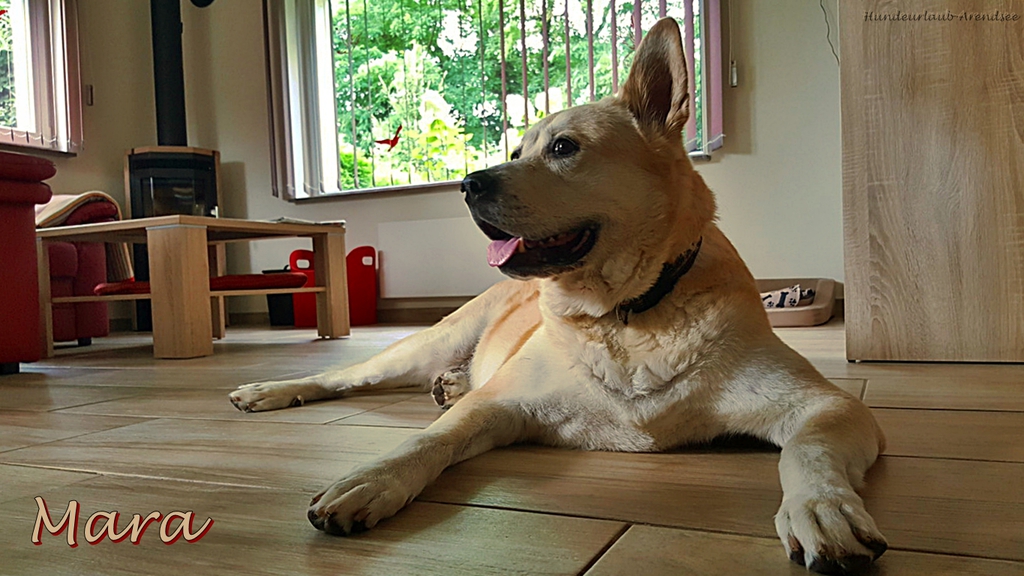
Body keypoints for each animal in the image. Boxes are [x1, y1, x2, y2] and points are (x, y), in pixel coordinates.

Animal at [229, 18, 887, 575]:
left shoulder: (826, 407)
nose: (467, 184)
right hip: (424, 345)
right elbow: (429, 439)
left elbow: (808, 452)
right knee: (342, 377)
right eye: (516, 152)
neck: (626, 314)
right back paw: (272, 390)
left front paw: (821, 508)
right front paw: (373, 478)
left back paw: (444, 384)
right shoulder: (497, 404)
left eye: (564, 148)